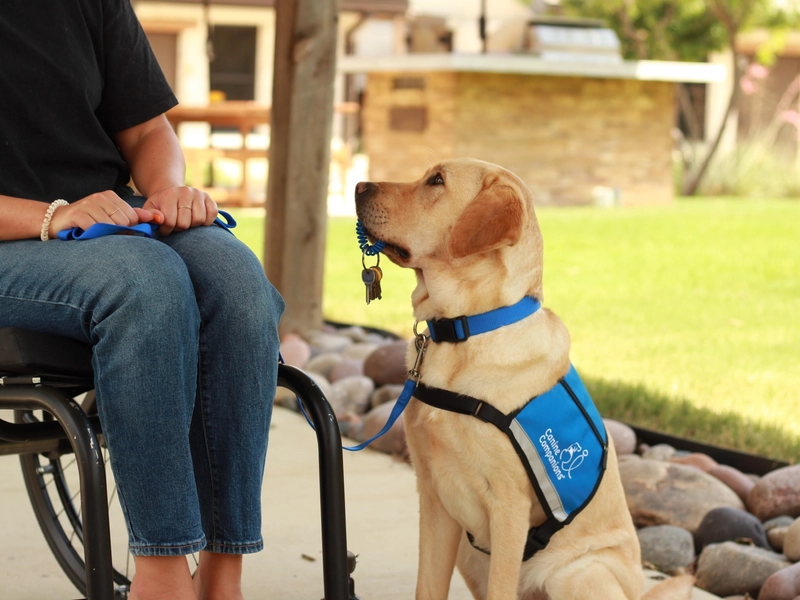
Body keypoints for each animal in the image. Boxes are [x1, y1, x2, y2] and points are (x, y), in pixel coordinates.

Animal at [356, 159, 692, 600]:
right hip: (468, 551)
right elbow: (427, 587)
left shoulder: (509, 506)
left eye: (436, 181)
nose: (359, 187)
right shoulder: (433, 496)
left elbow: (501, 589)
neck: (466, 332)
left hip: (575, 573)